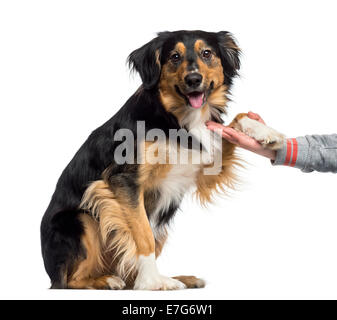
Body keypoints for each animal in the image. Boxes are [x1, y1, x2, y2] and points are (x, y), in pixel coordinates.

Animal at [40, 30, 284, 290]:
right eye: (175, 57)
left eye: (207, 53)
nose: (193, 79)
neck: (176, 117)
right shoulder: (123, 180)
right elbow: (143, 235)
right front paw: (153, 281)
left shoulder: (207, 166)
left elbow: (237, 121)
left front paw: (265, 132)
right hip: (81, 219)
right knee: (69, 280)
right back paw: (108, 280)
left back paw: (180, 278)